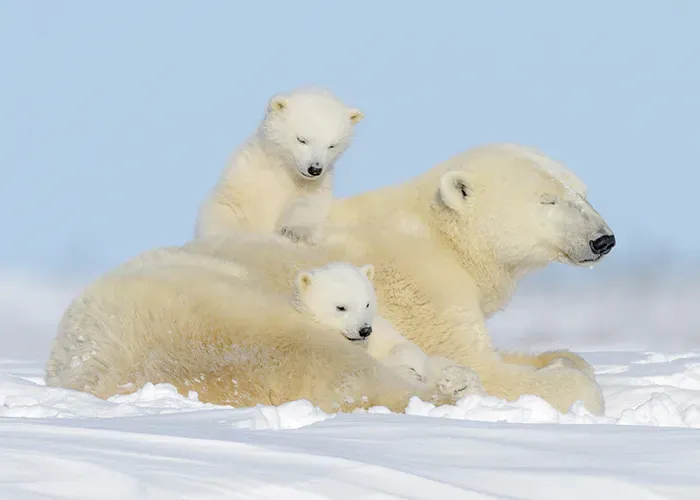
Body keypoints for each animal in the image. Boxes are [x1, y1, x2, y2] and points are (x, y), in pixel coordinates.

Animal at [179, 143, 615, 414]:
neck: (442, 236)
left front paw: (565, 358)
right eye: (547, 200)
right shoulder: (423, 290)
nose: (603, 239)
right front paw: (574, 383)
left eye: (582, 193)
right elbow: (483, 366)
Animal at [195, 87, 363, 244]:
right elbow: (226, 205)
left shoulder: (317, 186)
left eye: (332, 146)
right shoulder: (245, 175)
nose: (315, 169)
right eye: (302, 139)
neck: (284, 170)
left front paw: (293, 232)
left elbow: (310, 207)